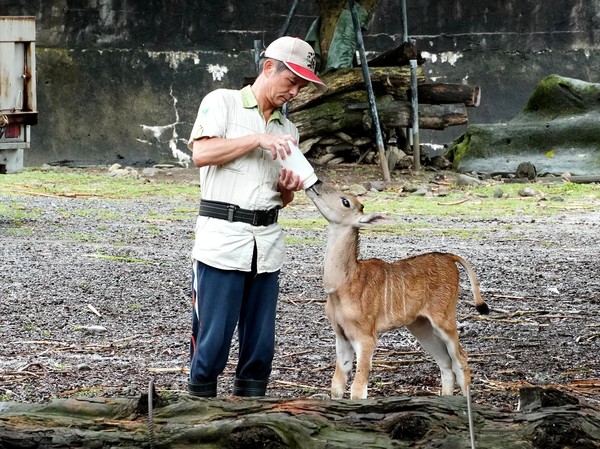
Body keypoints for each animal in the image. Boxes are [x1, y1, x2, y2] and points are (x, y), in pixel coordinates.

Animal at [308, 181, 490, 400]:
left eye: (346, 201)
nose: (316, 183)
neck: (343, 285)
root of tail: (449, 257)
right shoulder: (341, 335)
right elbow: (337, 385)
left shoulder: (366, 336)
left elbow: (358, 389)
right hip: (420, 325)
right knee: (445, 364)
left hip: (443, 319)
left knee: (460, 359)